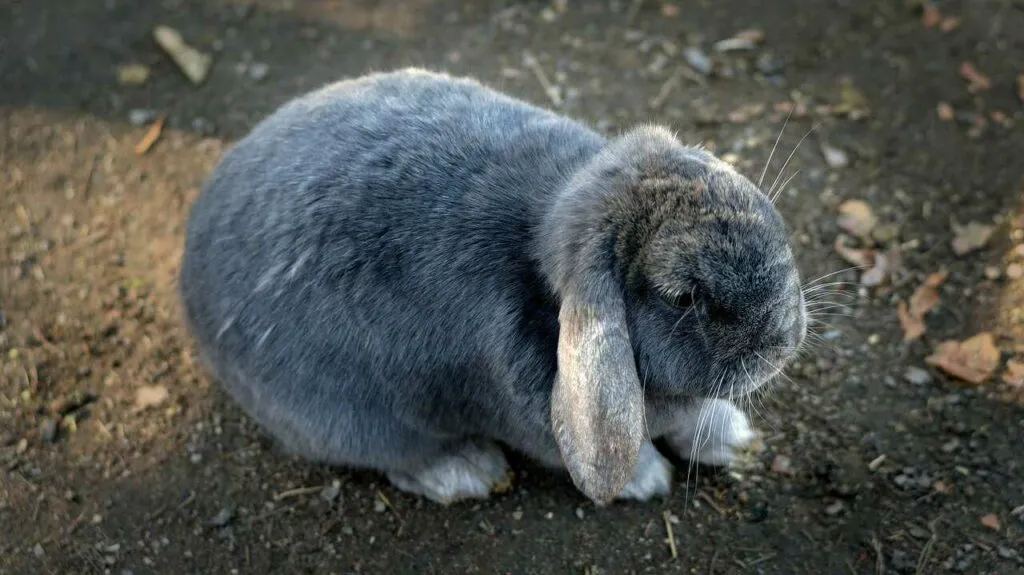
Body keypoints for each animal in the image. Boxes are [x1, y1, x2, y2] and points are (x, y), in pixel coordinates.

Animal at [182, 69, 806, 503]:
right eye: (682, 297)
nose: (784, 337)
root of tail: (191, 273)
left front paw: (731, 435)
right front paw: (646, 480)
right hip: (356, 422)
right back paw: (468, 472)